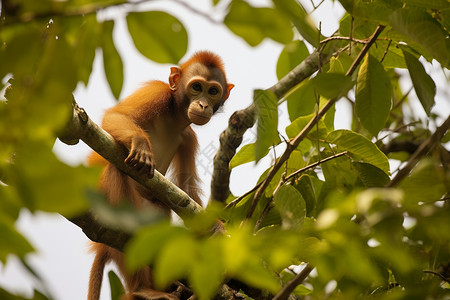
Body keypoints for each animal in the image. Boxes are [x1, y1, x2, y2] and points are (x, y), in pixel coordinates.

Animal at [88, 51, 236, 300]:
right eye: (197, 87)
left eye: (213, 91)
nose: (203, 104)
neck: (173, 115)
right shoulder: (156, 92)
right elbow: (115, 115)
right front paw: (140, 144)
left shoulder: (188, 137)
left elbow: (186, 188)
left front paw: (215, 227)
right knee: (116, 169)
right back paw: (143, 288)